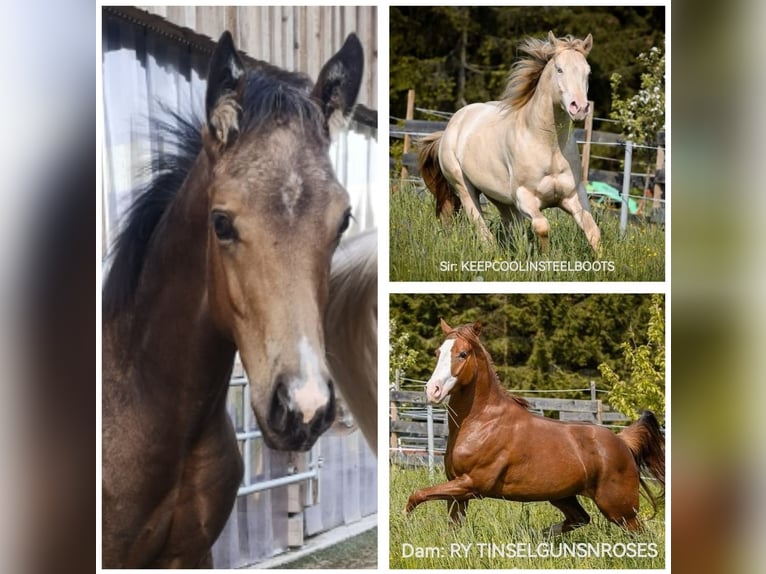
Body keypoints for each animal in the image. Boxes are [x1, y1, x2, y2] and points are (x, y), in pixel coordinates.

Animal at [405, 319, 665, 533]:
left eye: (462, 353)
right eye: (438, 352)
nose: (433, 390)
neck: (482, 423)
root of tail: (623, 442)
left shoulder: (471, 484)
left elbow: (416, 495)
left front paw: (405, 522)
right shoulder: (457, 493)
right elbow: (451, 528)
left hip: (620, 509)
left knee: (639, 533)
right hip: (563, 496)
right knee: (580, 518)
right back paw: (541, 536)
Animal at [418, 32, 601, 252]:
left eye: (588, 73)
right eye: (559, 69)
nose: (579, 107)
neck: (548, 145)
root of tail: (451, 126)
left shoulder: (574, 195)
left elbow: (593, 232)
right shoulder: (525, 197)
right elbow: (542, 227)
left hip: (500, 198)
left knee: (511, 228)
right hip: (463, 187)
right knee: (482, 228)